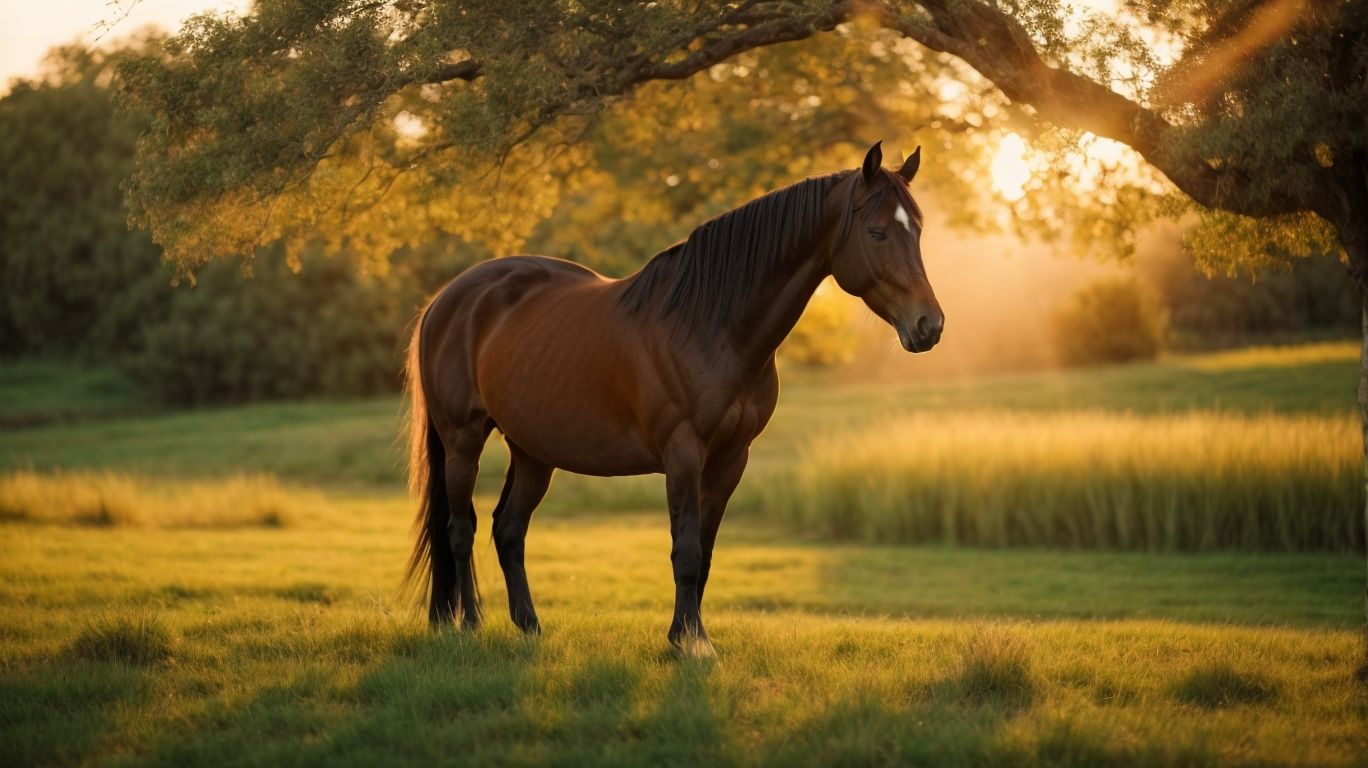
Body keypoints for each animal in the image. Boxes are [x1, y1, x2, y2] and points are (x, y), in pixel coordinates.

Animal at [404, 141, 943, 655]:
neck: (710, 324)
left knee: (509, 529)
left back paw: (530, 627)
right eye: (877, 232)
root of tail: (447, 299)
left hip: (533, 450)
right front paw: (690, 645)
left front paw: (689, 635)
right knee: (461, 528)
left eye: (916, 230)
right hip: (463, 439)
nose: (929, 325)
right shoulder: (683, 452)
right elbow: (685, 551)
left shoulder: (731, 458)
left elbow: (704, 551)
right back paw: (469, 625)